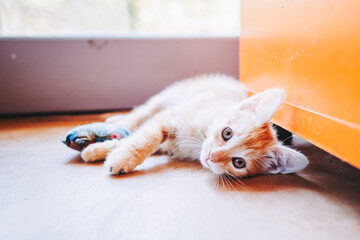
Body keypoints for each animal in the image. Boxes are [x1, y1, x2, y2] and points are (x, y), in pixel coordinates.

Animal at [81, 74, 310, 177]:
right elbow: (145, 137)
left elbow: (138, 137)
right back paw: (116, 120)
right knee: (142, 112)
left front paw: (99, 150)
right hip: (170, 95)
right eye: (227, 133)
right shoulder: (169, 118)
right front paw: (119, 157)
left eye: (238, 162)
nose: (211, 156)